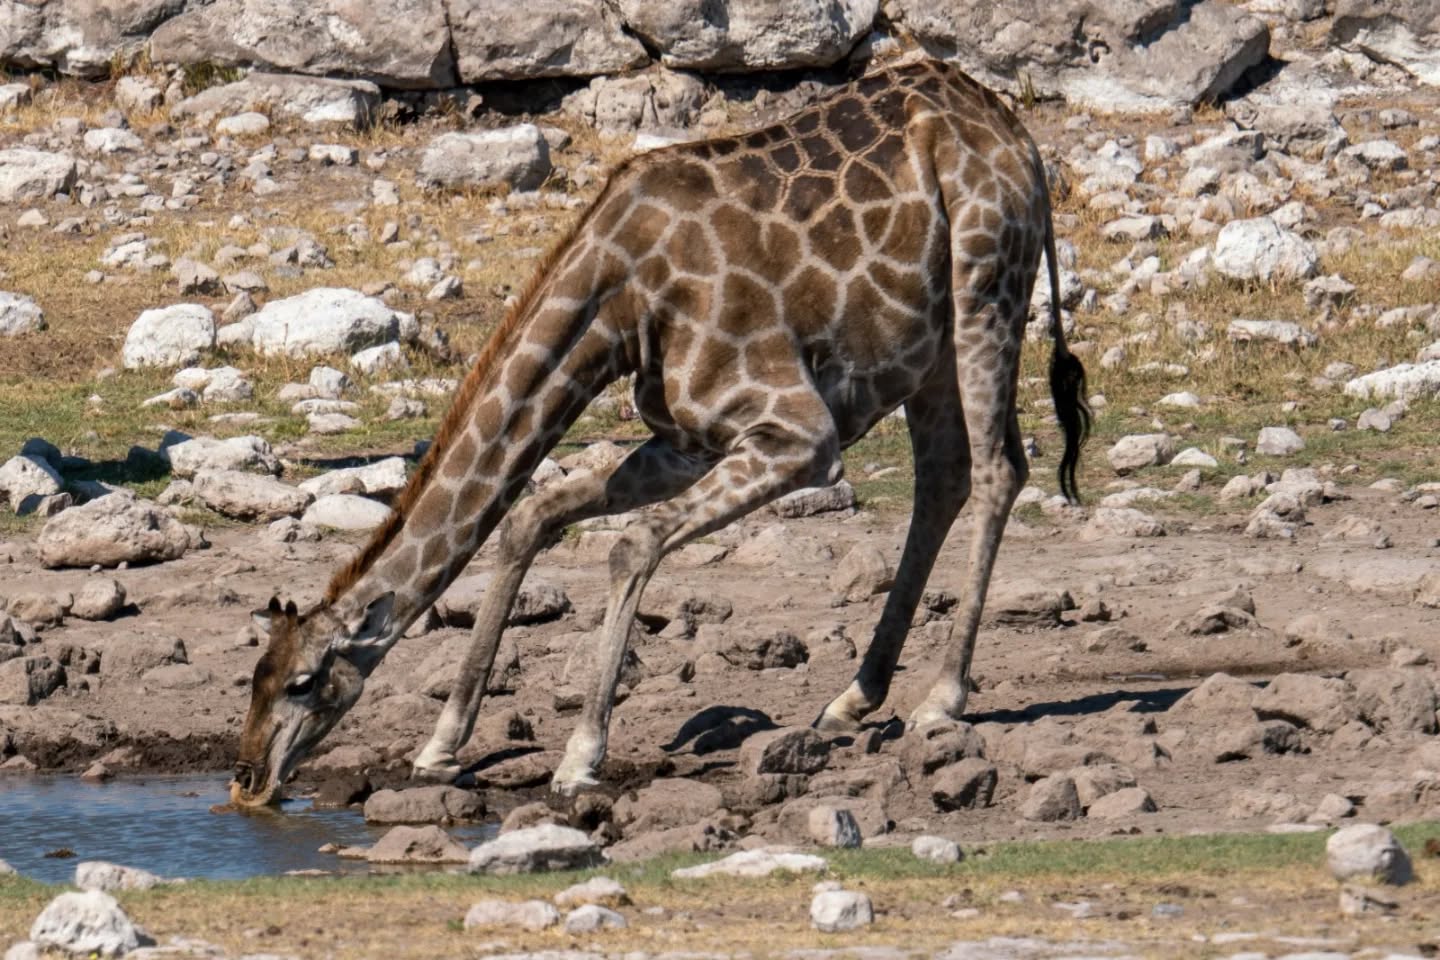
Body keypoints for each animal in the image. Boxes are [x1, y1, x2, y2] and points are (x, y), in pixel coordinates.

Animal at [229, 58, 1089, 807]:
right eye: (255, 675)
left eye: (303, 681)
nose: (246, 780)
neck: (620, 299)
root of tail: (1016, 131)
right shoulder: (686, 440)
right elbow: (530, 518)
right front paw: (442, 745)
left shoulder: (798, 433)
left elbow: (630, 544)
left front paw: (579, 757)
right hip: (927, 349)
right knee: (944, 477)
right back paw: (852, 699)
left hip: (988, 291)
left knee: (999, 471)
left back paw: (941, 699)